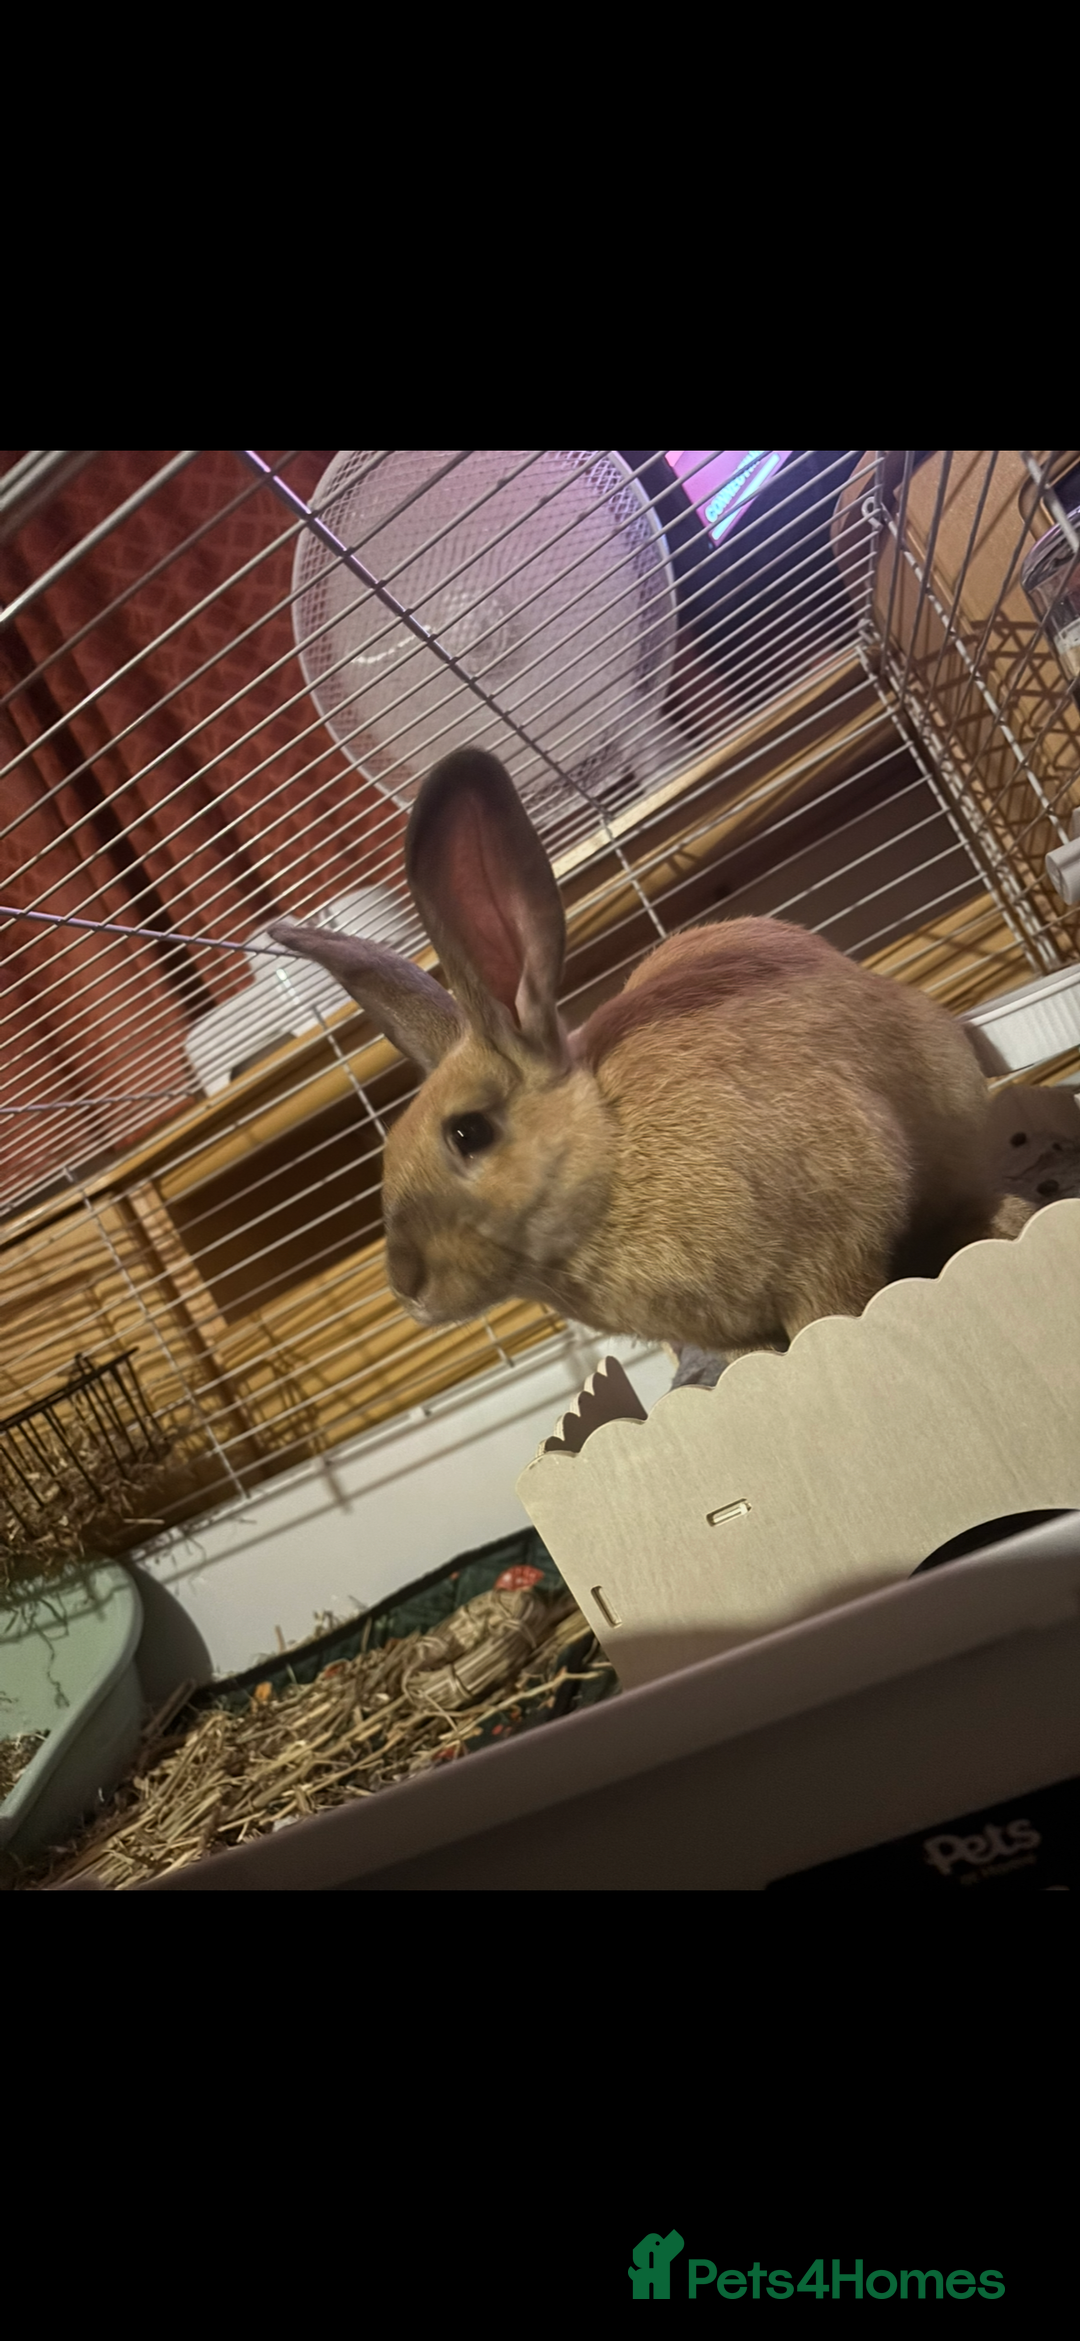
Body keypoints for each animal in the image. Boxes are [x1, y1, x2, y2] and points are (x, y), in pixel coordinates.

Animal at [269, 747, 1030, 1360]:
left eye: (468, 1132)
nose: (406, 1285)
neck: (611, 1149)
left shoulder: (833, 1247)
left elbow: (829, 1316)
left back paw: (1003, 1223)